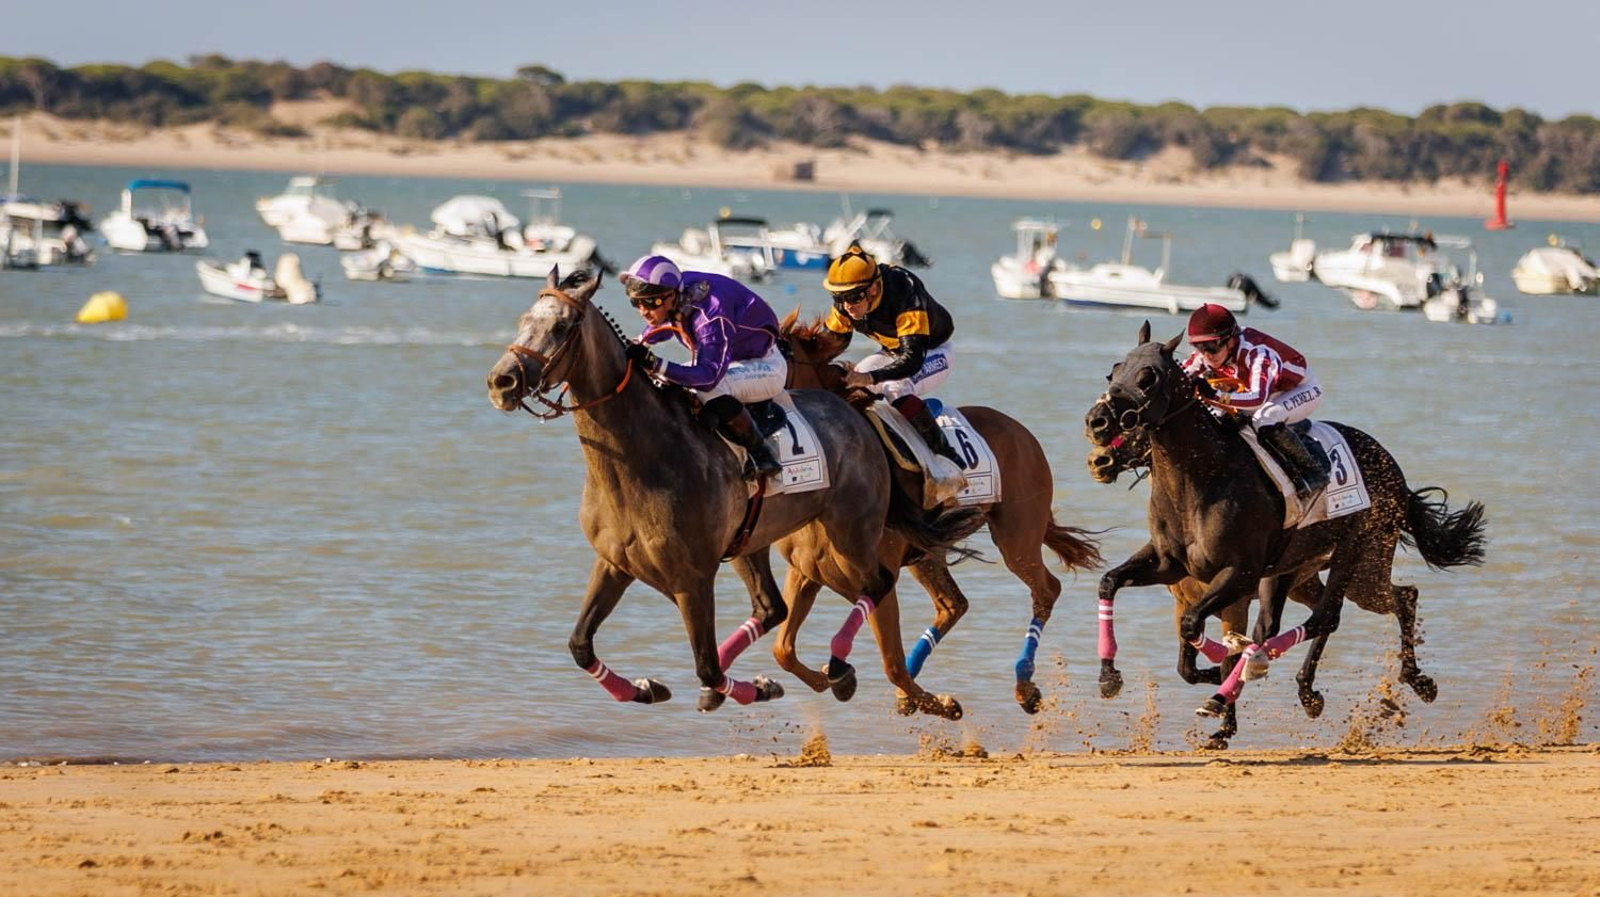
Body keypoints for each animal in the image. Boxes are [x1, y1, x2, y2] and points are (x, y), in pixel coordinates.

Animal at [485, 269, 974, 717]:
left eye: (562, 326)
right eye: (523, 320)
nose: (501, 382)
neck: (639, 459)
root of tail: (857, 412)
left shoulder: (692, 580)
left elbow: (707, 667)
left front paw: (758, 687)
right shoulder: (614, 563)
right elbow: (580, 645)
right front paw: (644, 688)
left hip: (851, 533)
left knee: (876, 584)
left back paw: (839, 667)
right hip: (752, 540)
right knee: (774, 607)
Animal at [778, 312, 1103, 714]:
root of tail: (1023, 431)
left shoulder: (879, 582)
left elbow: (891, 664)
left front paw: (942, 705)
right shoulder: (805, 572)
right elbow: (783, 650)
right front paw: (832, 678)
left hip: (1017, 537)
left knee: (1045, 590)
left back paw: (1024, 685)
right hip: (926, 553)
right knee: (953, 605)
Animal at [1083, 321, 1486, 722]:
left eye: (1148, 377)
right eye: (1113, 372)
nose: (1096, 425)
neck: (1200, 478)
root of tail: (1393, 468)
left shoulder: (1239, 574)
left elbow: (1194, 626)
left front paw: (1224, 667)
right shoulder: (1170, 565)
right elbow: (1110, 584)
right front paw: (1108, 677)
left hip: (1360, 554)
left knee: (1332, 614)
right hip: (1298, 571)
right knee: (1384, 601)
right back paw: (1325, 687)